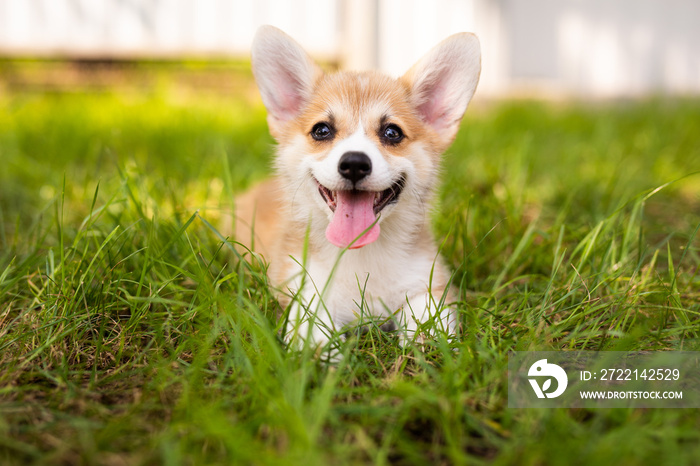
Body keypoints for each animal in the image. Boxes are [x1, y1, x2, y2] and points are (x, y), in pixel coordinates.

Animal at [235, 25, 482, 352]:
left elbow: (427, 315)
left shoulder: (427, 280)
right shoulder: (301, 284)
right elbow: (311, 318)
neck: (361, 255)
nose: (354, 163)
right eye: (322, 130)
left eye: (392, 133)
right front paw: (321, 351)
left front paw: (428, 342)